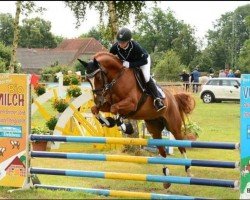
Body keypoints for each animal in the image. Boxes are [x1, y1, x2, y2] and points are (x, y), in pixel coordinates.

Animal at [78, 52, 195, 189]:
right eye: (87, 80)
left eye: (98, 77)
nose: (98, 99)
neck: (116, 78)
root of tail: (173, 97)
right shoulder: (106, 104)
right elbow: (95, 109)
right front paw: (109, 122)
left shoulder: (131, 103)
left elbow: (115, 109)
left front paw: (125, 127)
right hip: (154, 128)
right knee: (162, 151)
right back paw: (166, 178)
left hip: (174, 126)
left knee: (181, 146)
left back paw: (188, 170)